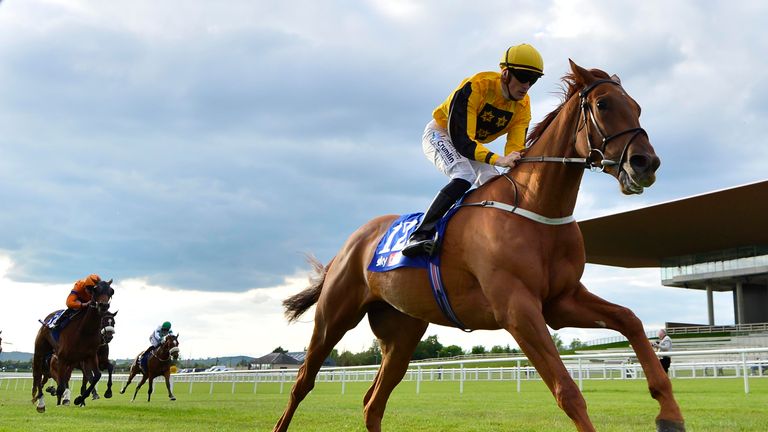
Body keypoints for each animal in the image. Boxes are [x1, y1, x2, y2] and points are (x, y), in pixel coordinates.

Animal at [272, 60, 684, 432]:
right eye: (603, 105)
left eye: (637, 107)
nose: (645, 163)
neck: (535, 207)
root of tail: (351, 242)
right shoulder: (517, 309)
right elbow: (567, 391)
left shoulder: (560, 301)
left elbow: (629, 319)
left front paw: (669, 414)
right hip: (333, 318)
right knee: (301, 384)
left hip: (402, 333)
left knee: (373, 402)